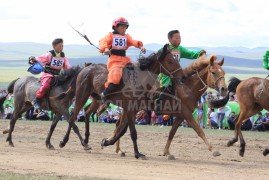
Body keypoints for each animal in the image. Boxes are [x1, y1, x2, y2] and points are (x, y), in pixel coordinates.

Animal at [55, 43, 185, 159]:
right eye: (170, 61)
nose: (182, 76)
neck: (139, 80)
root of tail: (86, 67)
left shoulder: (133, 109)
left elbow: (122, 130)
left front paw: (106, 142)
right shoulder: (129, 108)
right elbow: (132, 132)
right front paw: (137, 154)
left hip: (96, 98)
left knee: (86, 112)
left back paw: (86, 141)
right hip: (81, 95)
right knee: (73, 117)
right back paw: (65, 142)